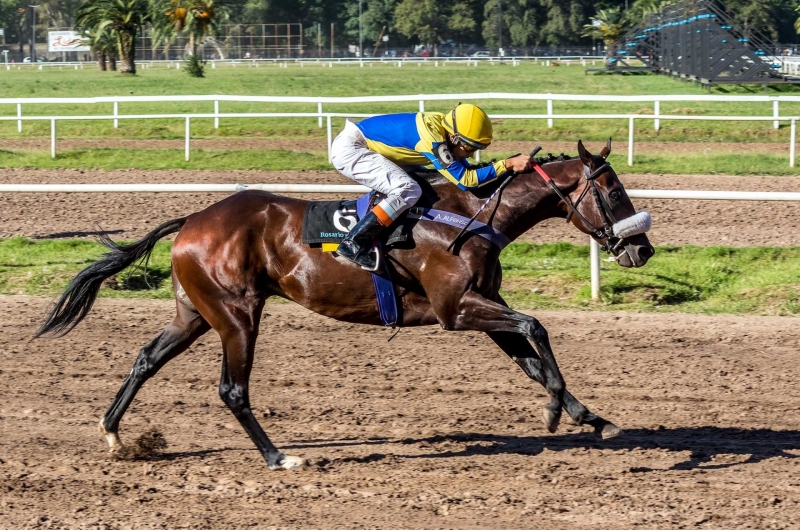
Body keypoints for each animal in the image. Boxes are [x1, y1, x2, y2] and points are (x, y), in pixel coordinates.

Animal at [36, 139, 648, 466]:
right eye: (613, 191)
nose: (641, 247)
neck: (471, 214)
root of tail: (191, 220)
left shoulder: (480, 302)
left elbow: (529, 353)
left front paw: (588, 416)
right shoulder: (456, 310)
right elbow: (536, 327)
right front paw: (555, 412)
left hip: (196, 314)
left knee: (146, 357)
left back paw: (115, 434)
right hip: (236, 314)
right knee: (233, 389)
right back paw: (278, 456)